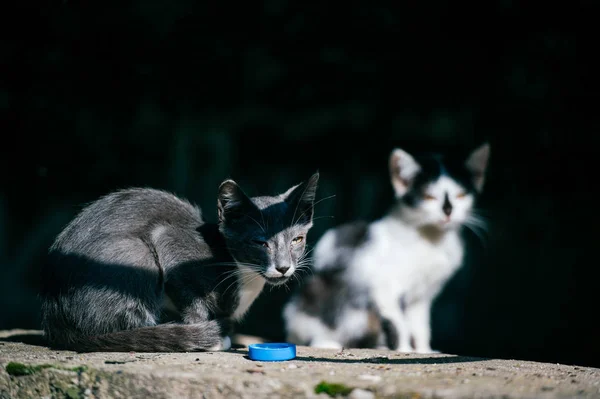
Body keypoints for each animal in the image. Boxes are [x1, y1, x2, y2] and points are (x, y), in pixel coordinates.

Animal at [39, 174, 318, 354]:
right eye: (260, 243)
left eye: (297, 239)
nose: (283, 267)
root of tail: (56, 319)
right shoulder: (169, 241)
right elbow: (192, 300)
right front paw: (211, 336)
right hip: (134, 254)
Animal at [284, 144, 490, 354]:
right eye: (429, 197)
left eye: (461, 195)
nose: (448, 211)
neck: (431, 240)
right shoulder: (383, 285)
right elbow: (399, 323)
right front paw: (405, 349)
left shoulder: (422, 296)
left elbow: (420, 325)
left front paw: (423, 351)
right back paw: (328, 342)